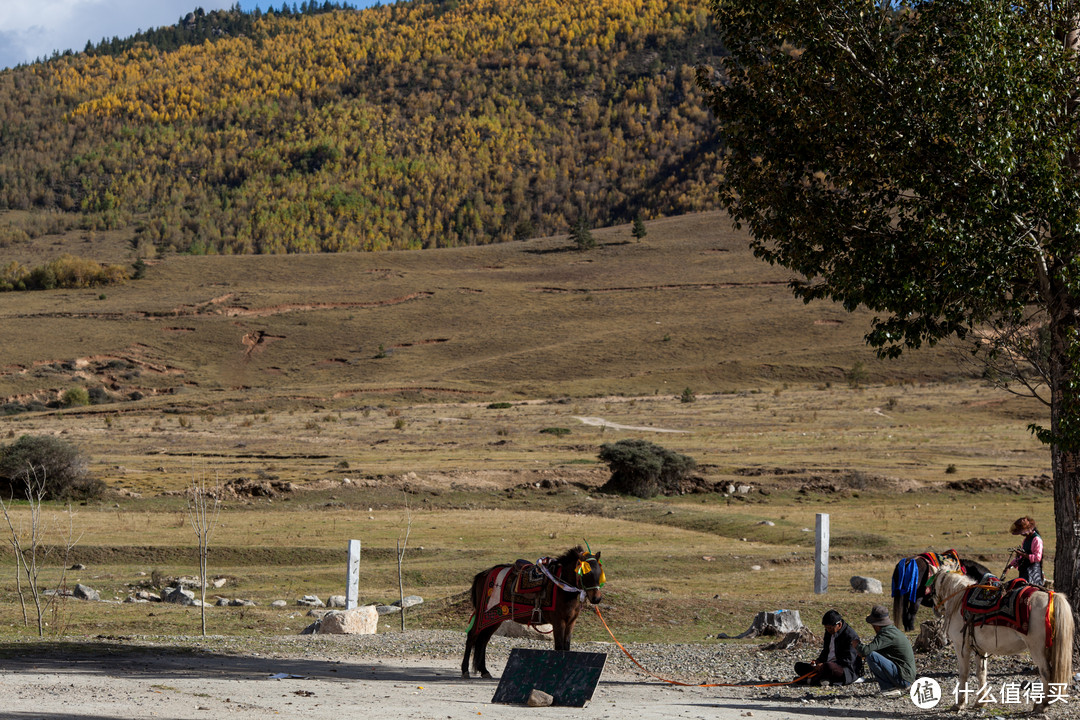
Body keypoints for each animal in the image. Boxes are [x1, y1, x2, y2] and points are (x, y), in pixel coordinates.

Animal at [460, 548, 604, 677]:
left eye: (599, 573)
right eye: (586, 574)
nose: (597, 598)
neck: (562, 588)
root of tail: (484, 574)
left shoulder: (570, 622)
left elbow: (566, 647)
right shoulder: (559, 622)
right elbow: (559, 647)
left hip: (495, 618)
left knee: (483, 640)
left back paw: (484, 671)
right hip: (484, 614)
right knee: (472, 636)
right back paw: (465, 670)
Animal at [933, 569, 1075, 712]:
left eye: (933, 585)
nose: (936, 610)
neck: (958, 602)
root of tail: (1051, 596)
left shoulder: (961, 646)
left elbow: (963, 674)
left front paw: (959, 704)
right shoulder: (980, 648)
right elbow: (981, 673)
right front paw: (981, 701)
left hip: (1037, 649)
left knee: (1046, 673)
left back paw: (1043, 704)